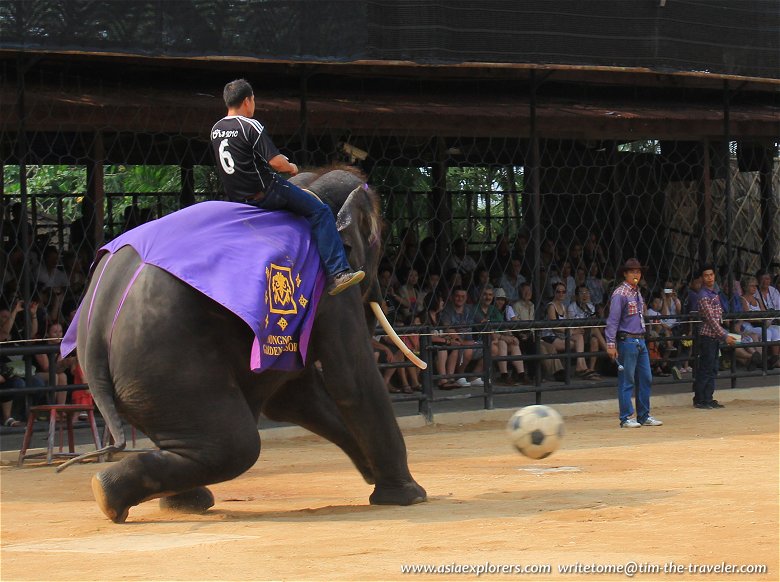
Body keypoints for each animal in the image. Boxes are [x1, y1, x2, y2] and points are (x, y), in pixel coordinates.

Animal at [61, 168, 426, 524]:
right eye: (378, 241)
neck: (309, 184)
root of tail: (94, 329)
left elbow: (294, 395)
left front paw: (372, 474)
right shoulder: (332, 288)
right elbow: (350, 379)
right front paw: (410, 496)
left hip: (141, 379)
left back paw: (161, 501)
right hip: (163, 362)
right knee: (237, 445)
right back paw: (109, 493)